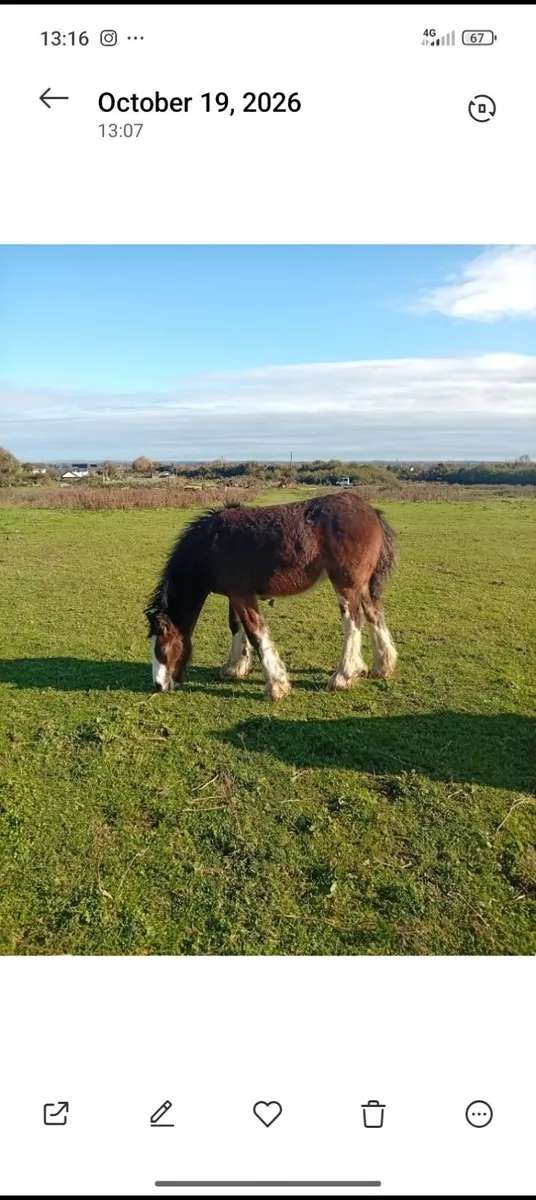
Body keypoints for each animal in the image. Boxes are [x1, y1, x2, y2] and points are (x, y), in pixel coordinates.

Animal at [145, 491, 398, 700]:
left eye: (162, 648)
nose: (159, 686)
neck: (210, 545)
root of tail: (372, 512)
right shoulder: (235, 594)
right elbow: (236, 626)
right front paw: (235, 667)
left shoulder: (242, 595)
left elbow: (255, 632)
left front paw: (276, 686)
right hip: (361, 586)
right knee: (374, 614)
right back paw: (382, 667)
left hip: (346, 585)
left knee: (353, 621)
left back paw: (343, 676)